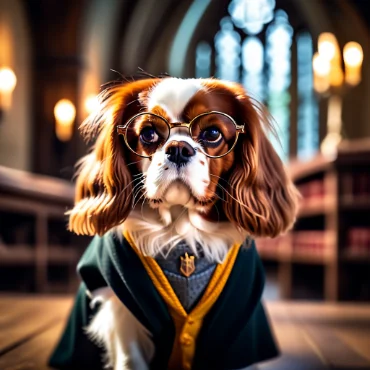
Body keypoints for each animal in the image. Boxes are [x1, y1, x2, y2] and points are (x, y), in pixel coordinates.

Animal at [49, 76, 298, 370]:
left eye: (212, 133)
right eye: (148, 134)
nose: (178, 148)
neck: (181, 233)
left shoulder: (238, 314)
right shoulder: (122, 311)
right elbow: (131, 358)